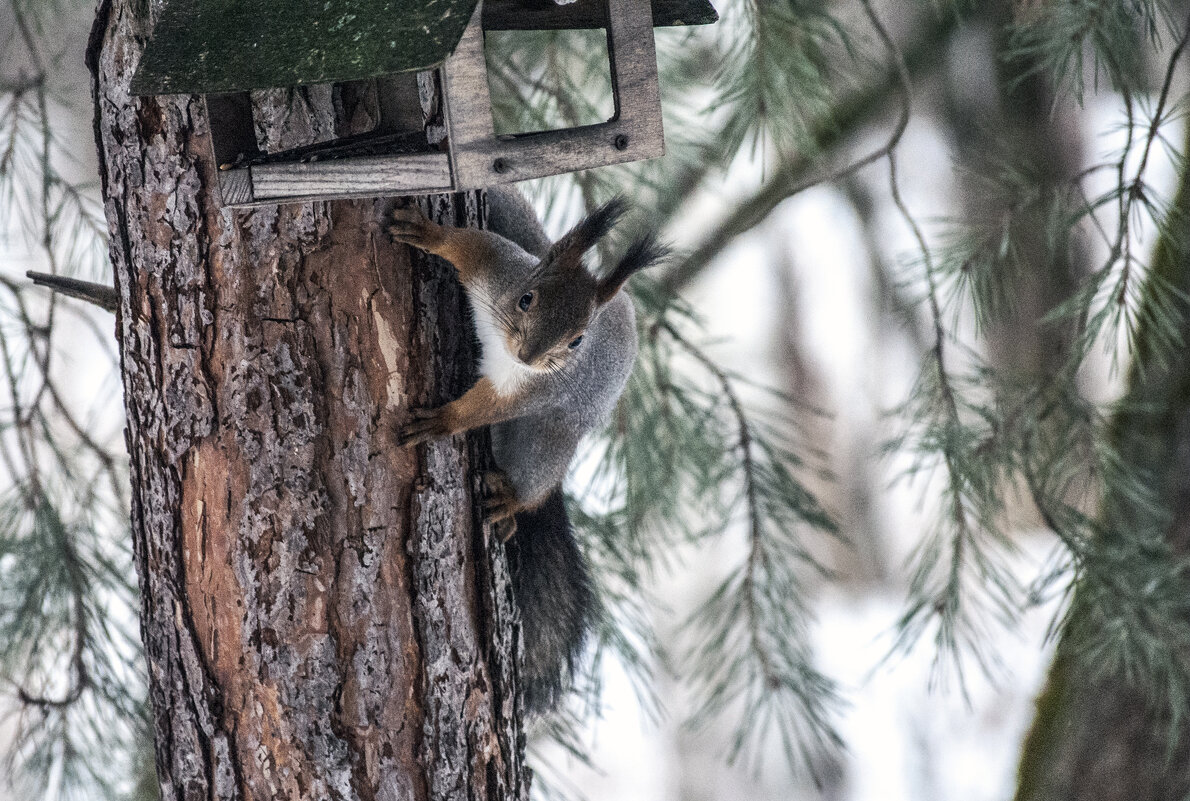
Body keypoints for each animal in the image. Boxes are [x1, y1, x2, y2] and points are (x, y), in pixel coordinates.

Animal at [392, 185, 671, 714]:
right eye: (527, 298)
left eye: (577, 340)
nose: (529, 355)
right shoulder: (500, 268)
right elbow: (468, 244)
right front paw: (428, 232)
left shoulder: (529, 389)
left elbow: (482, 409)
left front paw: (442, 421)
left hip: (548, 441)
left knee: (533, 480)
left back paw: (511, 501)